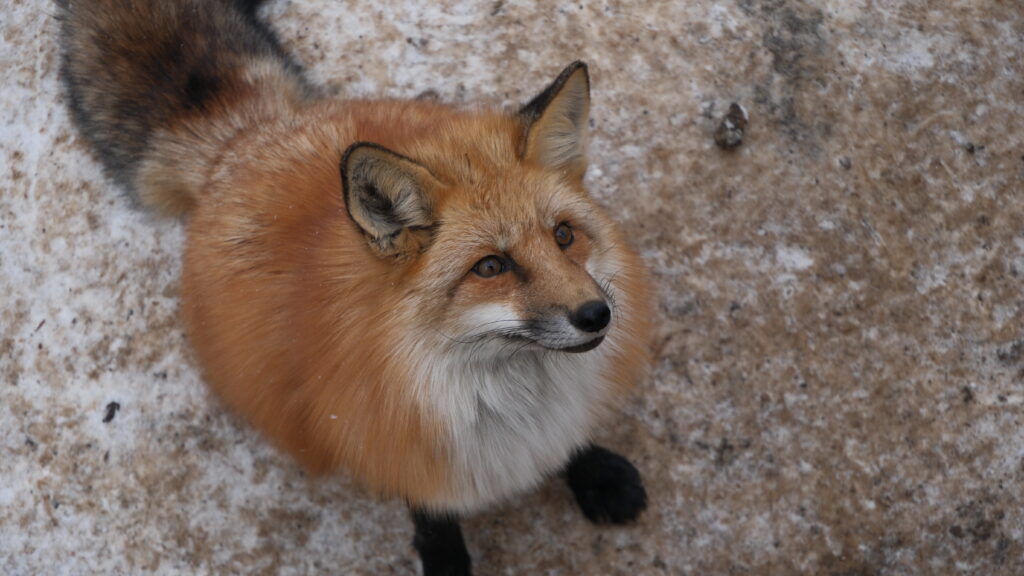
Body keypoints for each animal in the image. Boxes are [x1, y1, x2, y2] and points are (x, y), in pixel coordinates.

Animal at [59, 0, 654, 573]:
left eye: (563, 235)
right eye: (490, 267)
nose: (596, 314)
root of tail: (248, 134)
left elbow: (571, 441)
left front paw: (594, 472)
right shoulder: (391, 437)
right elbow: (430, 514)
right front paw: (445, 559)